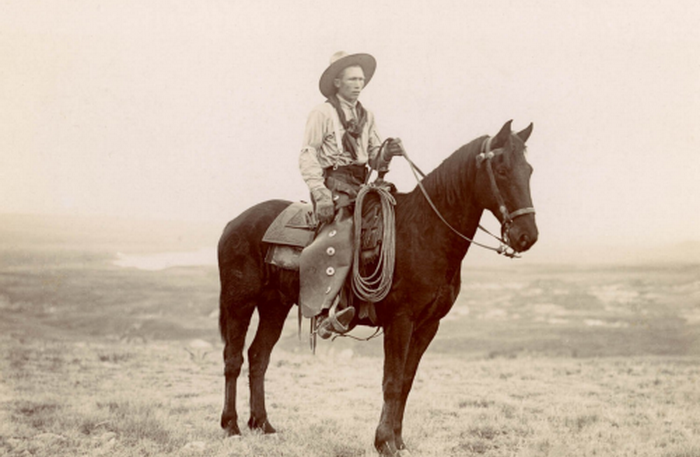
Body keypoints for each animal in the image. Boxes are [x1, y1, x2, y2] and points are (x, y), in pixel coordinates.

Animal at [217, 120, 538, 456]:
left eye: (528, 170)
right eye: (501, 170)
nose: (527, 236)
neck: (424, 232)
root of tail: (233, 223)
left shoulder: (428, 325)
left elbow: (406, 381)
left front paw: (398, 440)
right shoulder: (400, 320)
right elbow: (392, 381)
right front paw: (384, 441)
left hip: (274, 306)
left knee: (258, 356)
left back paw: (262, 424)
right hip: (239, 302)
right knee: (233, 358)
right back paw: (231, 426)